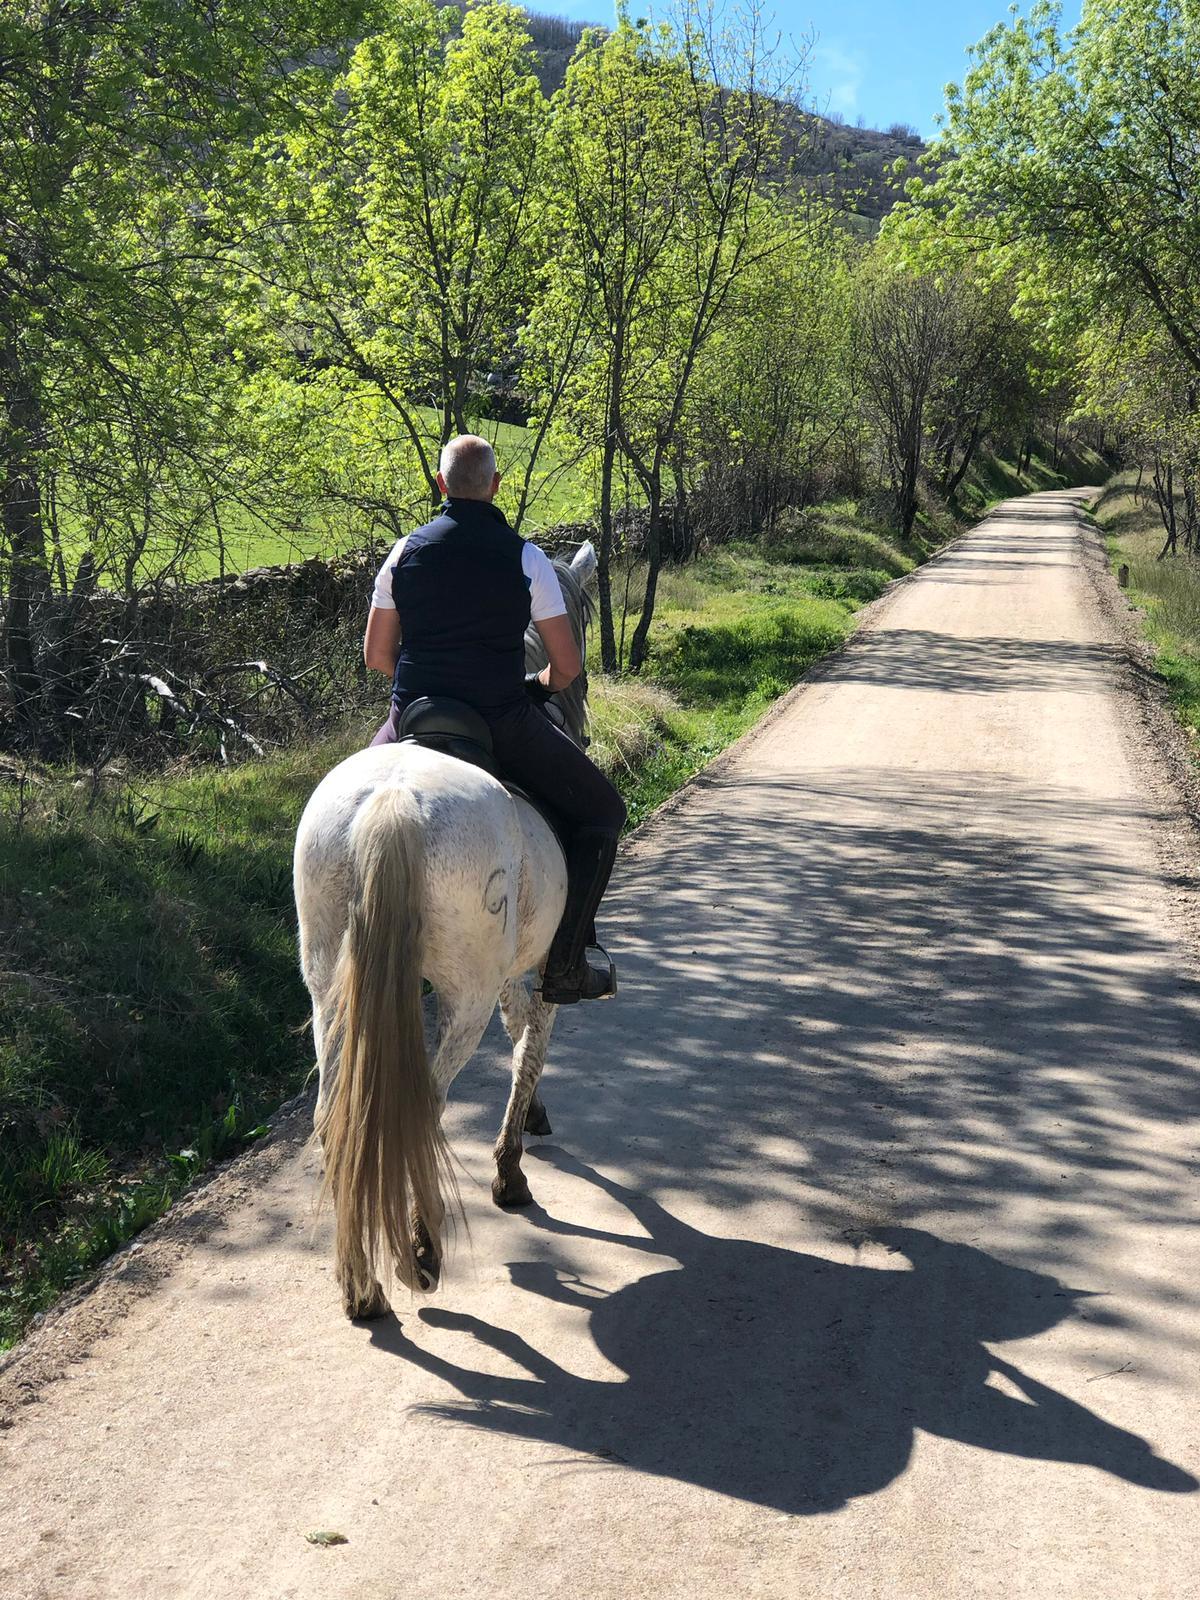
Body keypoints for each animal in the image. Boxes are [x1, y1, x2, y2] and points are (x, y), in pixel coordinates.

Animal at [292, 544, 601, 1318]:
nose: (576, 697)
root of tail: (393, 799)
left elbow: (521, 1043)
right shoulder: (538, 972)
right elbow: (529, 1046)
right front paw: (510, 1171)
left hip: (329, 986)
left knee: (338, 1116)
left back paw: (362, 1285)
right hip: (461, 995)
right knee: (420, 1108)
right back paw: (421, 1258)